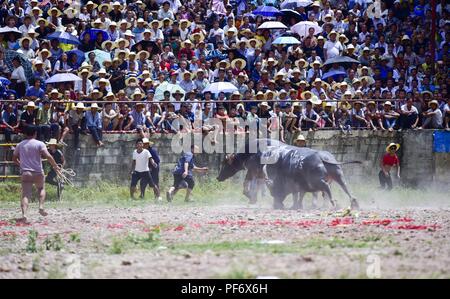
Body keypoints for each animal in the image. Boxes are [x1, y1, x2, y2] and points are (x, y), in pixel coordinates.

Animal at [216, 139, 360, 211]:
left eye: (224, 163)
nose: (218, 177)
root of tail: (321, 157)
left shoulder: (253, 171)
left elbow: (248, 184)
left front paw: (251, 197)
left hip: (317, 181)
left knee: (325, 188)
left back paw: (333, 203)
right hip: (338, 175)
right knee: (345, 187)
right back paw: (353, 202)